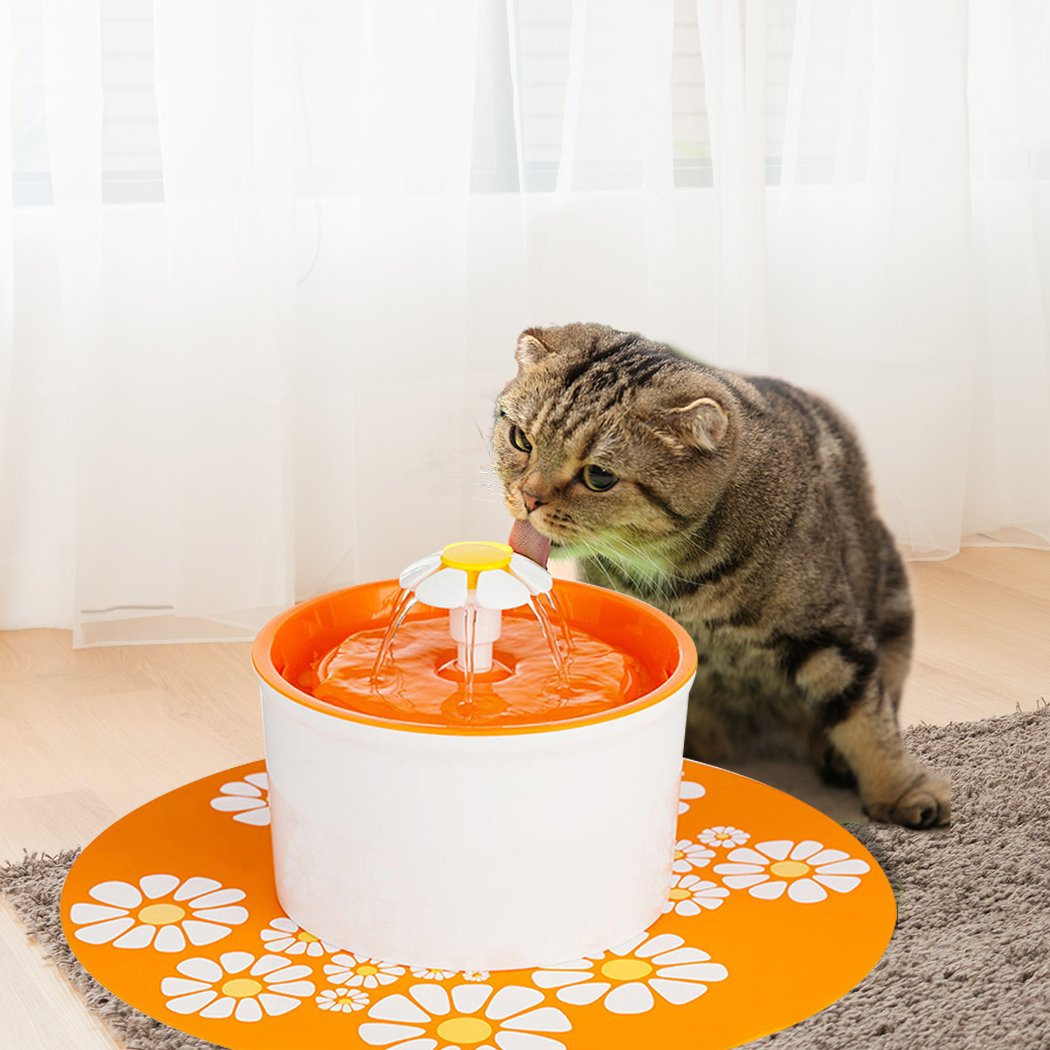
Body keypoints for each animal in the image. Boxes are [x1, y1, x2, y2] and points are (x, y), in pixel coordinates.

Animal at [491, 319, 953, 827]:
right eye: (521, 439)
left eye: (599, 477)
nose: (528, 496)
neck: (676, 580)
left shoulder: (827, 634)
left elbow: (867, 720)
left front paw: (900, 790)